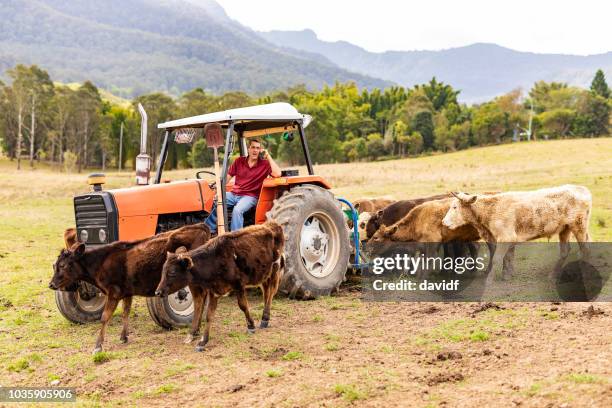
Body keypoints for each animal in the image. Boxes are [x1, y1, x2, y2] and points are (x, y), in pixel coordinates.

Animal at [49, 225, 210, 352]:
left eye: (63, 265)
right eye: (54, 265)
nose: (51, 284)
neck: (101, 262)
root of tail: (201, 227)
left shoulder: (113, 293)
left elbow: (104, 317)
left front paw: (98, 346)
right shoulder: (126, 292)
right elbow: (126, 312)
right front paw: (123, 337)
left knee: (198, 300)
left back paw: (192, 332)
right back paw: (196, 330)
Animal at [155, 222, 284, 352]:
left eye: (172, 272)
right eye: (162, 271)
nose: (157, 292)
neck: (215, 260)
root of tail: (272, 224)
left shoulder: (239, 285)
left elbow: (243, 306)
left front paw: (251, 326)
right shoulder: (214, 291)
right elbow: (209, 315)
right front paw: (203, 342)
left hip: (275, 269)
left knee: (270, 293)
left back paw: (265, 319)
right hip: (264, 275)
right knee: (266, 293)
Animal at [442, 185, 592, 280]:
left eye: (454, 207)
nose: (443, 222)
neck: (491, 210)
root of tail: (581, 189)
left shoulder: (505, 237)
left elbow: (497, 258)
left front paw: (490, 279)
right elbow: (507, 257)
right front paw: (507, 275)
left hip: (579, 226)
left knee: (585, 249)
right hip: (565, 229)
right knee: (565, 251)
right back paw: (553, 275)